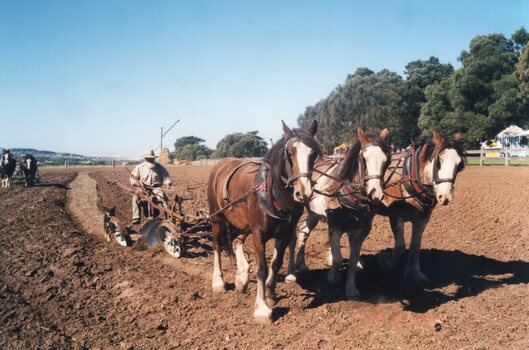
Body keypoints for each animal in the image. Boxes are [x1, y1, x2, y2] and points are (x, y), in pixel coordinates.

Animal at [208, 120, 320, 322]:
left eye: (313, 153)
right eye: (289, 153)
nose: (304, 193)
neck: (274, 195)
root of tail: (221, 163)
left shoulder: (284, 233)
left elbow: (275, 264)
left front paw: (271, 293)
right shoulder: (258, 234)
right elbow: (261, 269)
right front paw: (261, 308)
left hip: (243, 223)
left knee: (236, 241)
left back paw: (242, 278)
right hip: (217, 218)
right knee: (217, 246)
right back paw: (218, 281)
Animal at [284, 129, 392, 298]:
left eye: (387, 160)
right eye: (364, 158)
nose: (376, 194)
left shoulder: (360, 229)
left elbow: (353, 258)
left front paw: (351, 288)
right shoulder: (335, 226)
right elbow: (337, 259)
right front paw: (333, 276)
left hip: (313, 214)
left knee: (303, 232)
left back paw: (301, 265)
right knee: (295, 236)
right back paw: (292, 272)